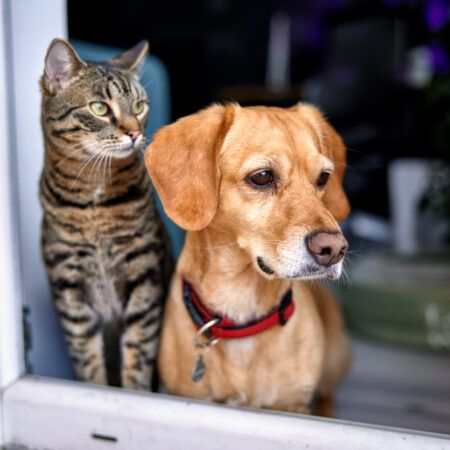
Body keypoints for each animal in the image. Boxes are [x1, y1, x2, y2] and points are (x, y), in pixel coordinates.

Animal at [39, 38, 166, 390]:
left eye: (139, 107)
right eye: (99, 108)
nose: (135, 133)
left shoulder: (144, 272)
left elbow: (139, 350)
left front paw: (134, 393)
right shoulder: (69, 282)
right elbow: (86, 355)